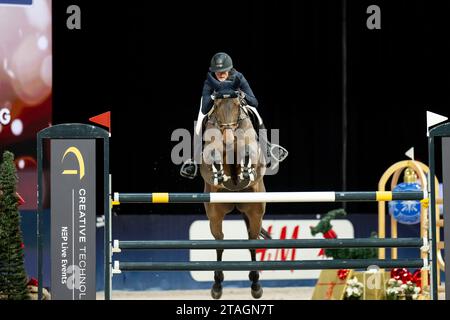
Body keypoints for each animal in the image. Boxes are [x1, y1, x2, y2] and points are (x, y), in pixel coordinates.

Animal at [198, 76, 268, 298]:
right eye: (217, 106)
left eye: (238, 104)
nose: (229, 140)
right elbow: (213, 154)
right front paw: (219, 169)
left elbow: (249, 153)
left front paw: (245, 165)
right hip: (215, 213)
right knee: (220, 242)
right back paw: (217, 286)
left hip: (255, 211)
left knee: (252, 242)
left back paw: (256, 285)